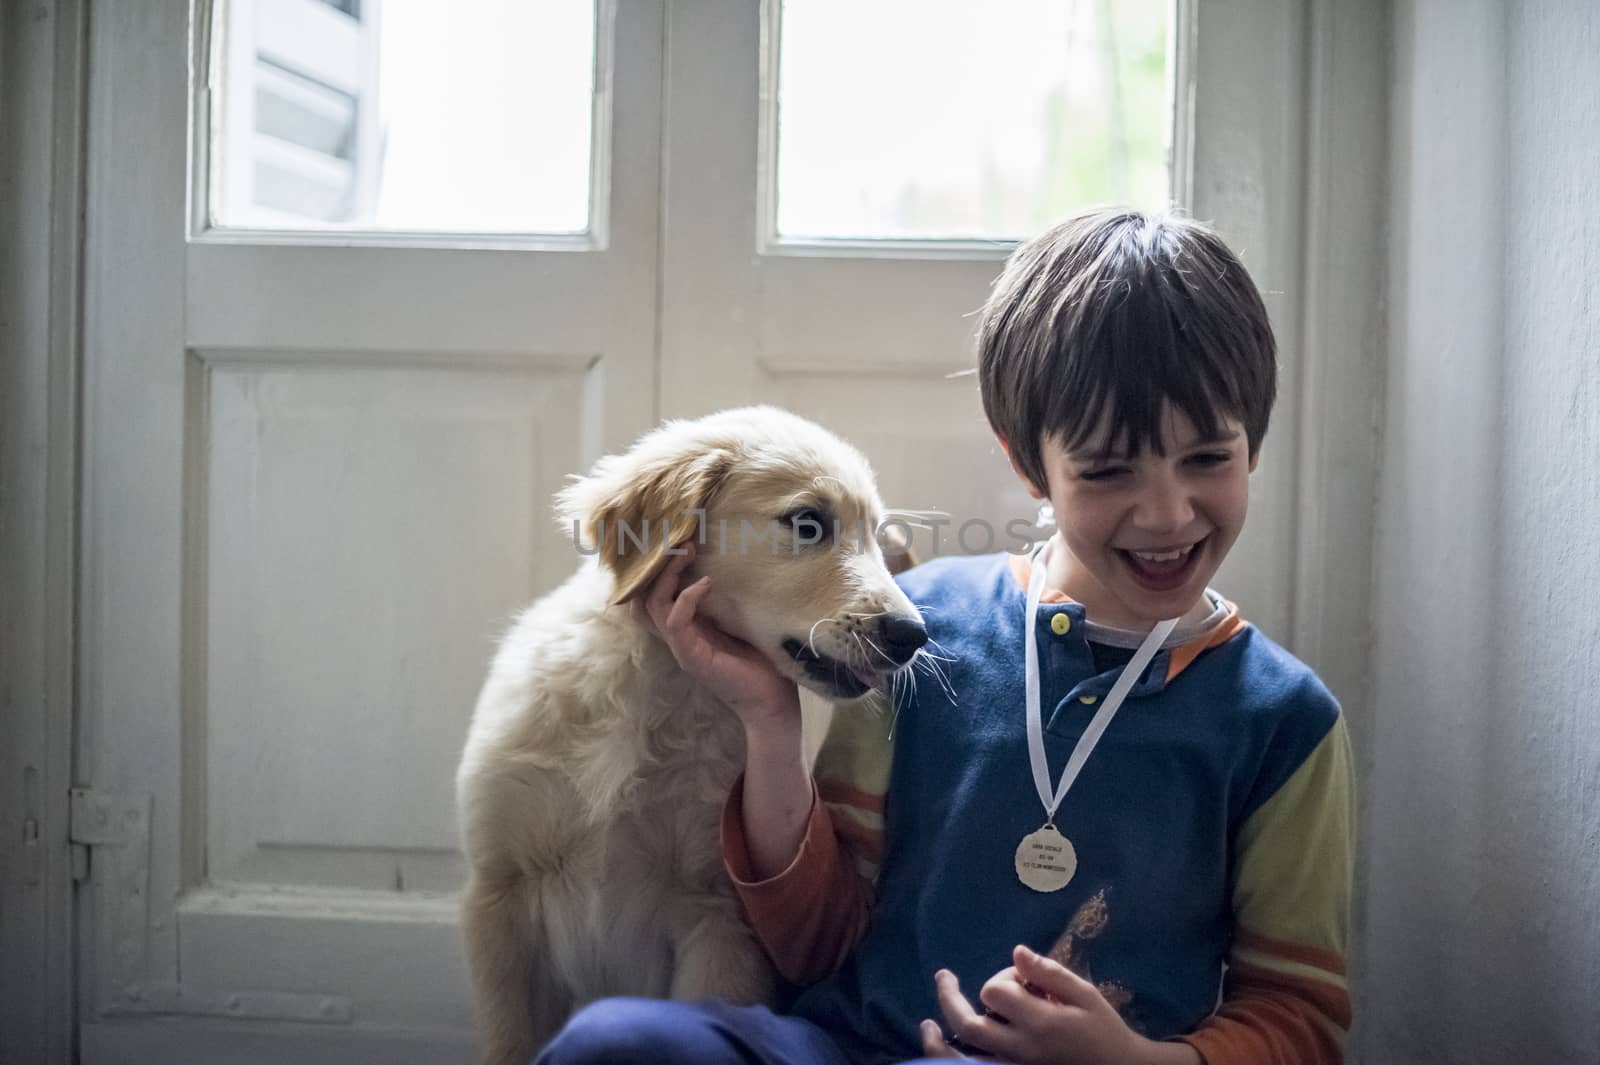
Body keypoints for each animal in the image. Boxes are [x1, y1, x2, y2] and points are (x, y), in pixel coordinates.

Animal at [451, 404, 928, 1061]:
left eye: (878, 538)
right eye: (808, 523)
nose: (915, 636)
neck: (659, 684)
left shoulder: (720, 923)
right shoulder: (501, 899)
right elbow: (509, 1042)